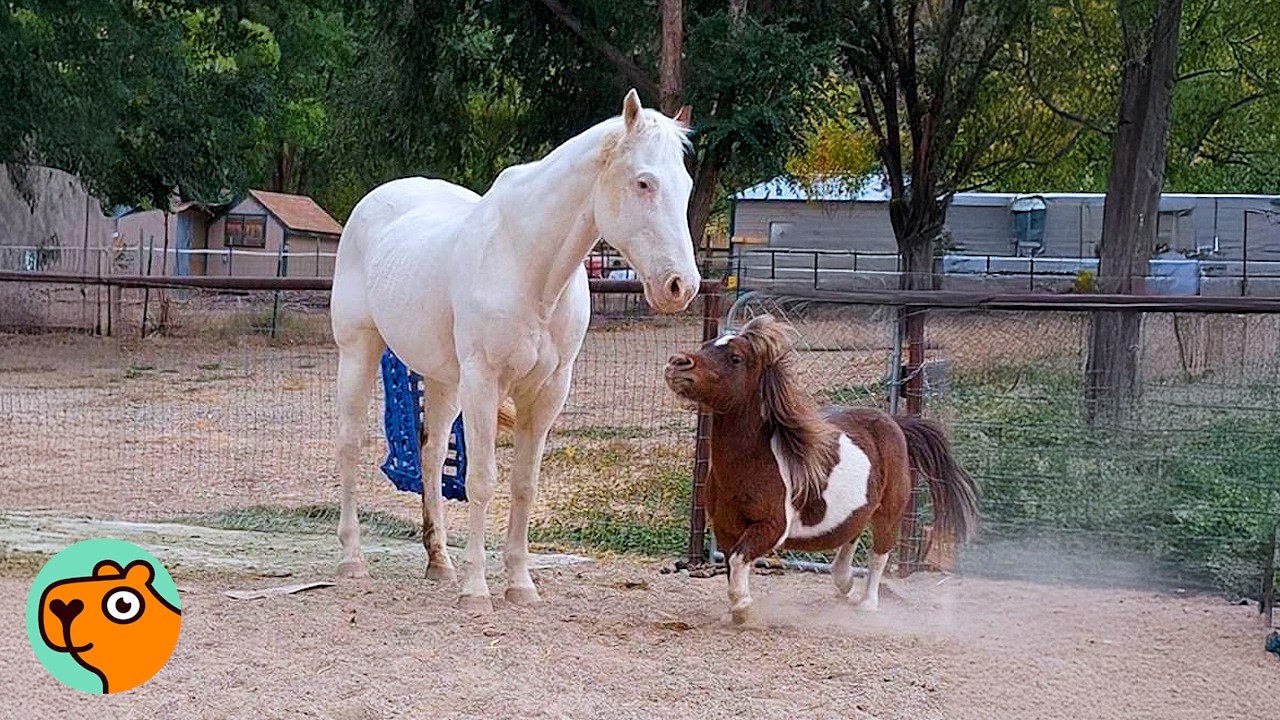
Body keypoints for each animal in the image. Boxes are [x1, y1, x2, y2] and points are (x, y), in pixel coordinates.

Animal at [331, 90, 701, 613]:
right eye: (643, 182)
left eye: (685, 185)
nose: (680, 286)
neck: (529, 264)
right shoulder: (485, 383)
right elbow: (482, 481)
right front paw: (477, 591)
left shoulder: (547, 392)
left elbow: (525, 485)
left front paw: (520, 584)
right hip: (359, 350)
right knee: (350, 445)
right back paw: (352, 560)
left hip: (444, 380)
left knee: (430, 454)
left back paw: (439, 561)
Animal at [664, 314, 978, 625]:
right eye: (706, 345)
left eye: (735, 357)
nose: (677, 363)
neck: (751, 464)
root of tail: (896, 423)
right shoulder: (725, 528)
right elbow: (731, 565)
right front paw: (734, 611)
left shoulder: (772, 527)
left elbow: (739, 559)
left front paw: (743, 609)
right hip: (857, 510)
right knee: (850, 537)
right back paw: (845, 584)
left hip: (889, 512)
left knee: (879, 555)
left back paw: (867, 603)